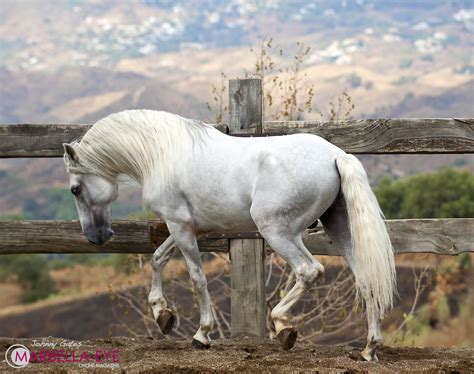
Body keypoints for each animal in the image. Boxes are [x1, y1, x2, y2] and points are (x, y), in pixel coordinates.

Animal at [63, 109, 396, 360]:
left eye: (75, 189)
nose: (96, 237)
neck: (163, 153)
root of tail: (337, 155)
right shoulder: (186, 227)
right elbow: (158, 258)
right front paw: (162, 316)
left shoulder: (179, 226)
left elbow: (196, 277)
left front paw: (201, 335)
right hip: (338, 229)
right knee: (366, 279)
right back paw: (369, 349)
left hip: (278, 231)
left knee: (309, 270)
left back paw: (282, 326)